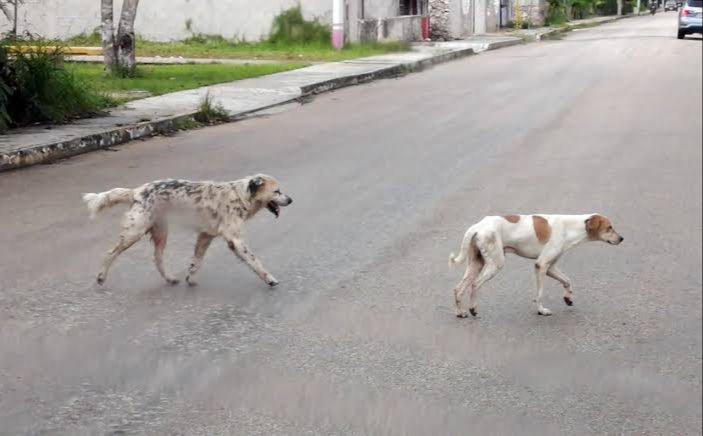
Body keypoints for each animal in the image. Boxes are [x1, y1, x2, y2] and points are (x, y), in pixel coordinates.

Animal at [84, 174, 292, 290]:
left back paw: (170, 278)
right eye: (277, 191)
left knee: (157, 258)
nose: (291, 200)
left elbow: (196, 261)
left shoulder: (205, 236)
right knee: (110, 253)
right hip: (134, 232)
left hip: (160, 232)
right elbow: (255, 262)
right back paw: (101, 277)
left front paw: (190, 279)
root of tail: (136, 191)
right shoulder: (236, 240)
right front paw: (270, 279)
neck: (240, 195)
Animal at [448, 214, 624, 316]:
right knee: (475, 285)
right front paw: (541, 310)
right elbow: (539, 294)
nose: (622, 239)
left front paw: (568, 298)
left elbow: (567, 280)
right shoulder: (541, 265)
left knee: (458, 288)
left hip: (475, 264)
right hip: (495, 264)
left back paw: (460, 312)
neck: (570, 226)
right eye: (609, 227)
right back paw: (472, 308)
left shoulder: (551, 268)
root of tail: (477, 227)